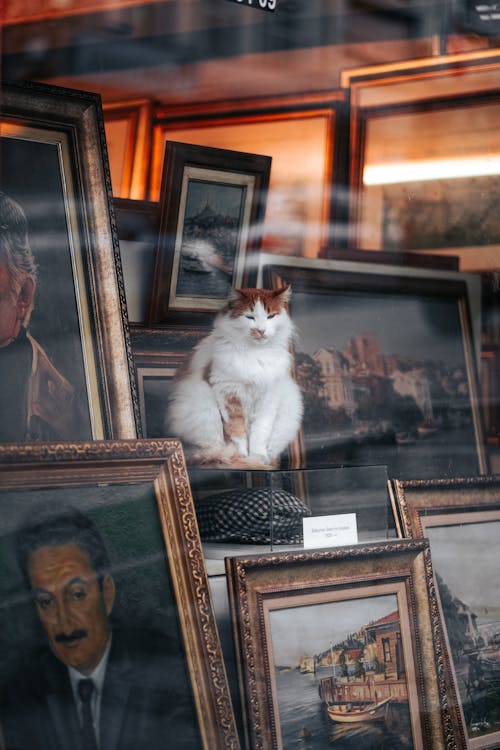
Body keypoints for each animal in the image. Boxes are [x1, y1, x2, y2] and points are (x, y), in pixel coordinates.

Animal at [168, 284, 302, 468]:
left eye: (270, 316)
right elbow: (236, 432)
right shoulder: (228, 393)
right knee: (214, 448)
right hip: (203, 406)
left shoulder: (268, 398)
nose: (261, 330)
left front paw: (257, 455)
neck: (256, 354)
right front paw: (243, 455)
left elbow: (260, 432)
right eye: (250, 317)